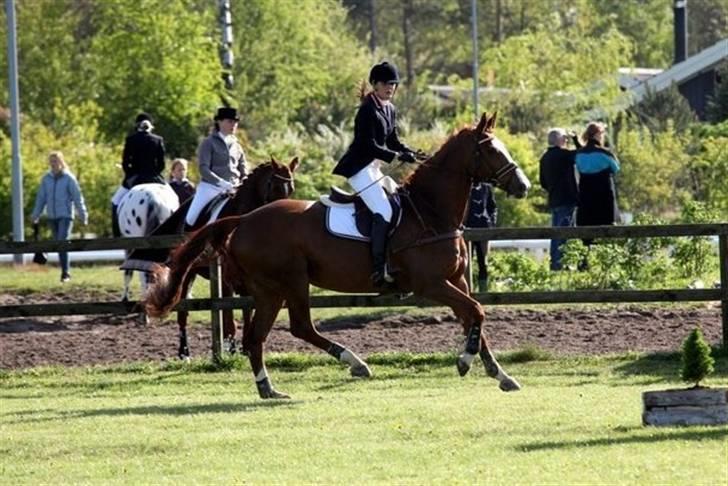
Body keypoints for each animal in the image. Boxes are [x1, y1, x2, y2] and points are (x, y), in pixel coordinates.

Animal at [125, 159, 298, 356]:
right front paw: (232, 348)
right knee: (183, 312)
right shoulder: (225, 280)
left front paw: (246, 347)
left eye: (291, 189)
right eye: (275, 187)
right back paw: (184, 352)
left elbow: (247, 309)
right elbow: (229, 318)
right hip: (188, 274)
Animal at [146, 113, 528, 398]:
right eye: (491, 150)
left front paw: (499, 374)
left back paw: (269, 389)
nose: (523, 186)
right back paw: (354, 363)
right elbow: (476, 312)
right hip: (290, 282)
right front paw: (464, 361)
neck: (431, 211)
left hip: (270, 291)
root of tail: (245, 218)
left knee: (257, 337)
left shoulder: (456, 280)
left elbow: (474, 317)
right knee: (300, 327)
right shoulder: (431, 284)